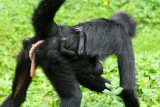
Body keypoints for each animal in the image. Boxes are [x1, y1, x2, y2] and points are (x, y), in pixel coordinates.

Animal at [0, 0, 139, 107]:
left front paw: (115, 91)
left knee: (17, 95)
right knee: (74, 96)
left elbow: (83, 77)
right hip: (55, 60)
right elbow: (128, 88)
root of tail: (55, 30)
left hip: (28, 52)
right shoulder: (125, 39)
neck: (114, 22)